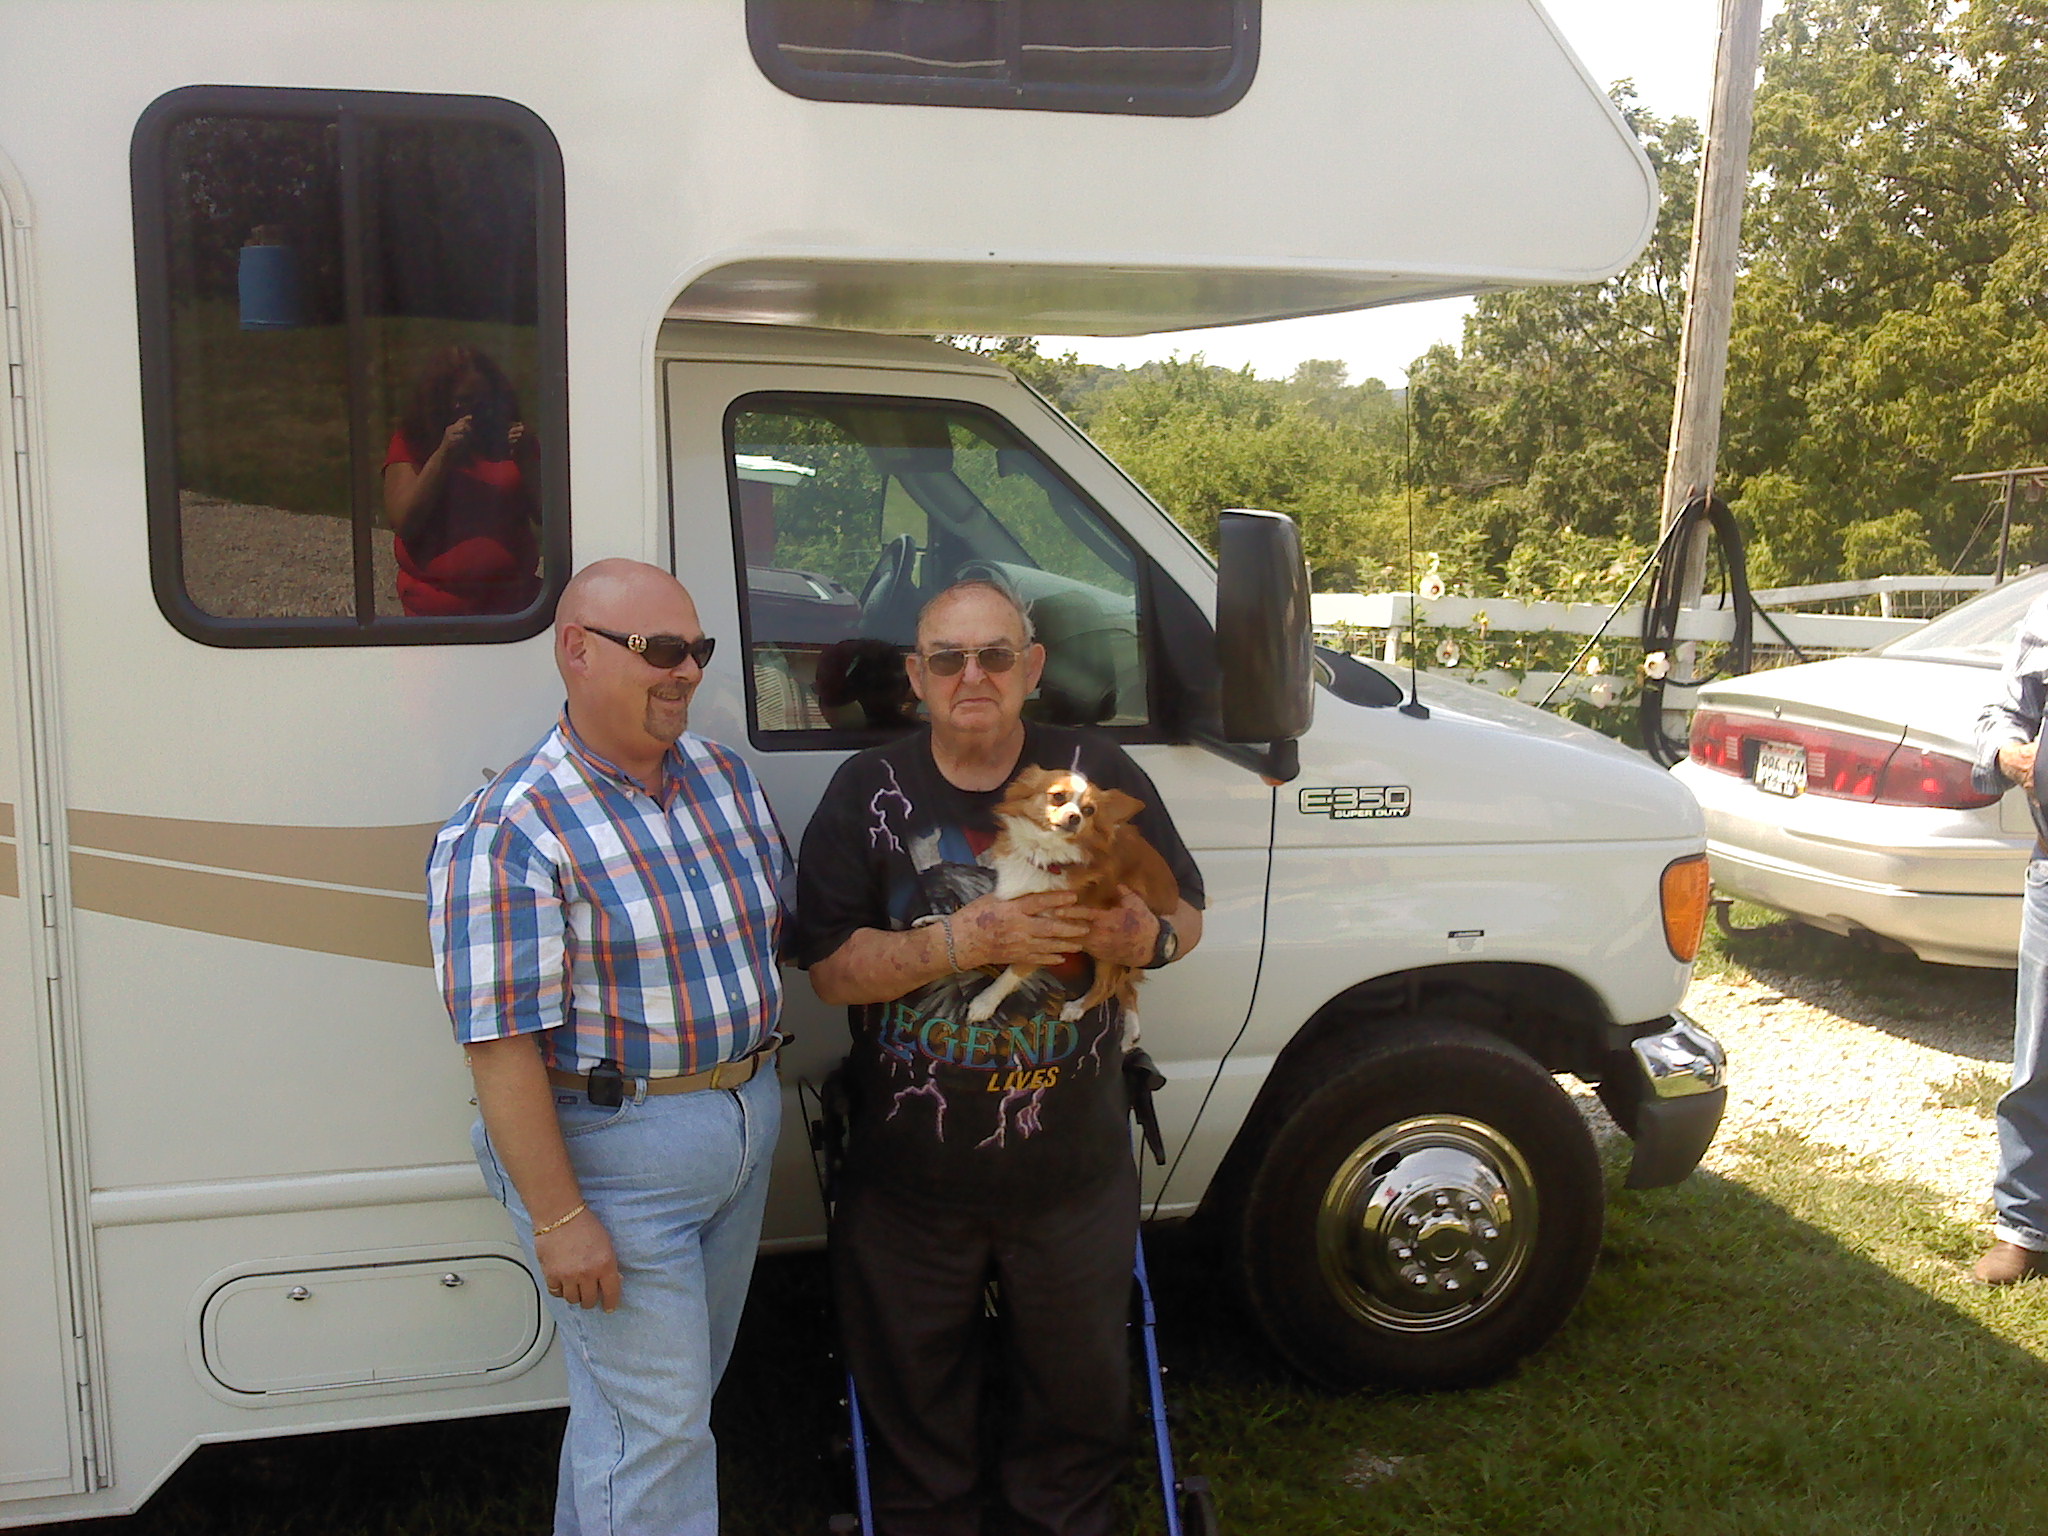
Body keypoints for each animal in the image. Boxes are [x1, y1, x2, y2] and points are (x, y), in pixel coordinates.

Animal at [961, 764, 1180, 1046]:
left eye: (1089, 811)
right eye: (1057, 797)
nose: (1075, 817)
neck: (1046, 856)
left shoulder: (1052, 933)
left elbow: (1013, 973)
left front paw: (985, 1002)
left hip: (1112, 950)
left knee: (1108, 986)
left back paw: (1077, 1008)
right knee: (1127, 988)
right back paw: (1130, 1032)